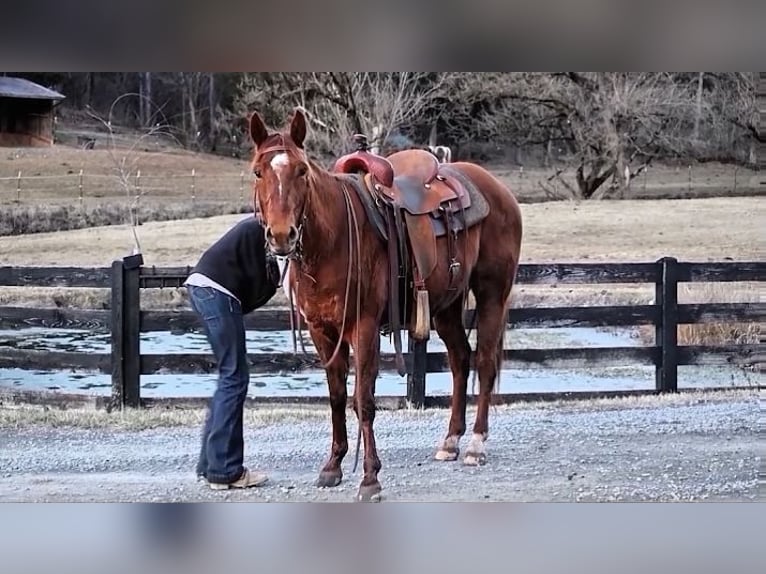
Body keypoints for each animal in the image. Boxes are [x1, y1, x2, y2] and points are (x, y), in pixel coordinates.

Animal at [248, 107, 523, 502]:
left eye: (301, 170)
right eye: (258, 171)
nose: (282, 235)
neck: (333, 240)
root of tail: (498, 189)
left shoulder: (363, 327)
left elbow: (363, 399)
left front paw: (370, 478)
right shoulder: (322, 331)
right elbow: (336, 396)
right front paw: (333, 466)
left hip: (492, 294)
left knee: (484, 362)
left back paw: (475, 445)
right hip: (445, 307)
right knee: (460, 360)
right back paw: (450, 441)